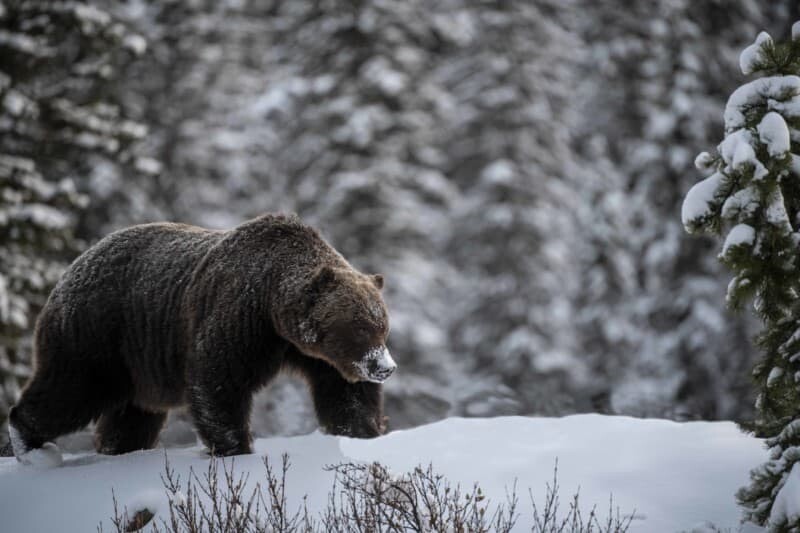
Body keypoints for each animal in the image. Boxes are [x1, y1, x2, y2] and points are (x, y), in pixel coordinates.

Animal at [4, 213, 396, 466]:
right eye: (360, 326)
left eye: (383, 326)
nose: (385, 367)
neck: (272, 304)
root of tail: (68, 271)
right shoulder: (238, 316)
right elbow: (218, 380)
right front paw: (236, 448)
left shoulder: (312, 353)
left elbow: (344, 393)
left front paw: (363, 433)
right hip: (96, 332)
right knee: (70, 390)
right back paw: (29, 443)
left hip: (136, 363)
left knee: (131, 417)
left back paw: (119, 450)